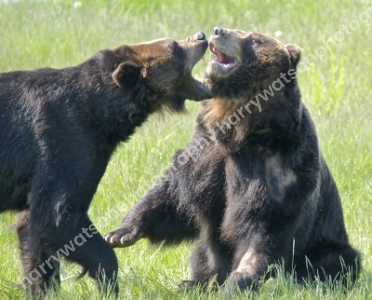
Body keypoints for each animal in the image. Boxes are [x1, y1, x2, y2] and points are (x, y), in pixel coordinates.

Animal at [0, 31, 212, 296]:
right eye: (174, 46)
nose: (201, 36)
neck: (100, 113)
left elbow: (32, 230)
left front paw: (42, 289)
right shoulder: (62, 141)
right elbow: (58, 213)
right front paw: (108, 282)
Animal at [106, 28, 362, 292]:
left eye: (254, 39)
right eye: (239, 30)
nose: (218, 30)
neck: (242, 131)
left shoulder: (281, 169)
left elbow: (266, 227)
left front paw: (238, 281)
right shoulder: (207, 153)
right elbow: (174, 197)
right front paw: (122, 232)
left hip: (324, 242)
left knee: (336, 259)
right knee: (202, 254)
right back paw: (193, 282)